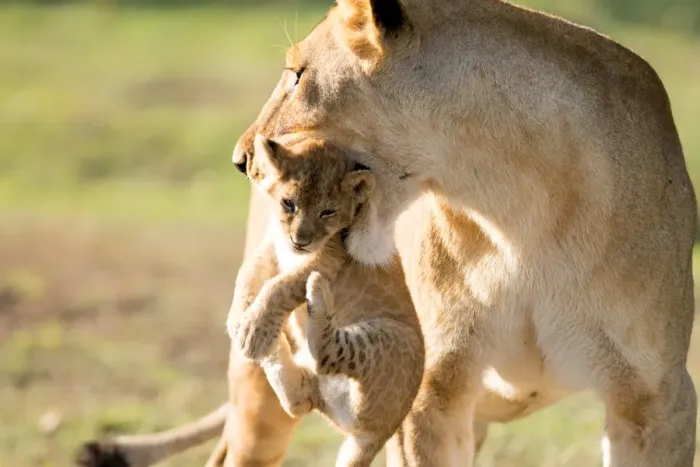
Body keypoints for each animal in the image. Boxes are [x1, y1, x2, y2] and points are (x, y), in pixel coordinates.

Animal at [78, 0, 697, 466]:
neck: (517, 213)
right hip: (259, 404)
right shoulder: (432, 396)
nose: (242, 160)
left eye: (299, 73)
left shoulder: (658, 403)